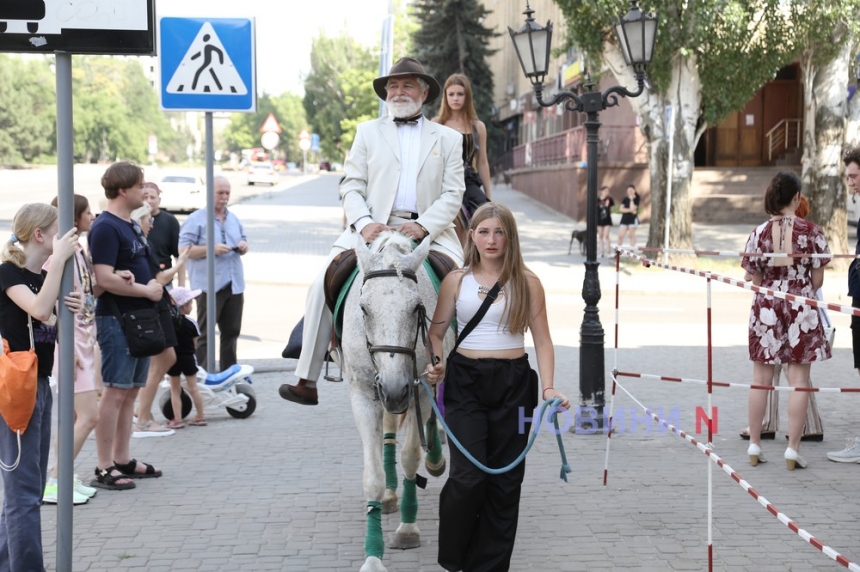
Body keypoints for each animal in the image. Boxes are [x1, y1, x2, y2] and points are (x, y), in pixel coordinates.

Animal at [340, 232, 454, 572]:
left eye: (416, 307)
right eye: (364, 309)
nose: (393, 388)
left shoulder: (418, 391)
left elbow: (410, 457)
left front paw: (407, 528)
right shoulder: (365, 394)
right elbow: (373, 477)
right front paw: (373, 556)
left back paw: (435, 458)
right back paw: (391, 494)